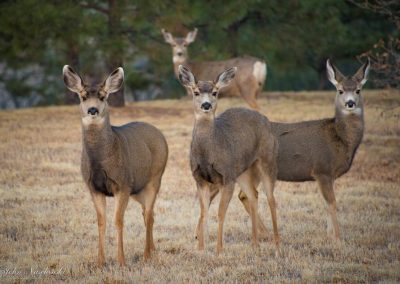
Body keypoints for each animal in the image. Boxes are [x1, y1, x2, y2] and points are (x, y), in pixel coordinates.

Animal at [62, 65, 169, 266]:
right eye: (83, 96)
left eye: (103, 96)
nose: (93, 110)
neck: (101, 162)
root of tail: (159, 133)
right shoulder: (93, 187)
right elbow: (101, 221)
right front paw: (100, 262)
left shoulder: (122, 184)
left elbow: (118, 220)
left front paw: (121, 261)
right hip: (138, 189)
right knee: (148, 214)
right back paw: (152, 250)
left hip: (154, 178)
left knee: (149, 213)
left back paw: (146, 255)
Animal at [177, 65, 280, 255]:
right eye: (196, 92)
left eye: (215, 92)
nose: (206, 105)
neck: (208, 154)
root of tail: (265, 120)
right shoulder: (200, 179)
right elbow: (203, 212)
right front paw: (201, 248)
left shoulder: (227, 177)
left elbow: (220, 213)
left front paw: (219, 250)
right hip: (243, 171)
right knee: (253, 195)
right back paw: (254, 244)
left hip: (267, 160)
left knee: (271, 199)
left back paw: (276, 245)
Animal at [236, 58, 370, 241]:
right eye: (340, 90)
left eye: (358, 90)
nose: (350, 103)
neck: (340, 139)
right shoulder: (322, 169)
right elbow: (332, 203)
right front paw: (337, 238)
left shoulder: (329, 175)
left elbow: (326, 204)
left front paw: (329, 235)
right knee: (245, 195)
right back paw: (268, 233)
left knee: (244, 195)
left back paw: (266, 232)